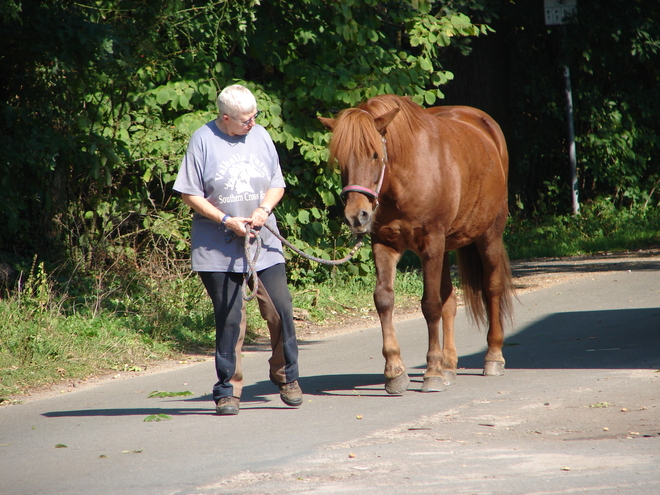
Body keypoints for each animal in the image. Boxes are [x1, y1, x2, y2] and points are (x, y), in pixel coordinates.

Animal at [320, 94, 516, 396]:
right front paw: (394, 372)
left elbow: (431, 305)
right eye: (341, 159)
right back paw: (449, 366)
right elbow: (385, 300)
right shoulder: (385, 245)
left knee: (491, 288)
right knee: (450, 299)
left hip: (489, 236)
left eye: (375, 154)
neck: (405, 179)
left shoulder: (431, 244)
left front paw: (432, 372)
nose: (357, 216)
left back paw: (493, 357)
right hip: (447, 246)